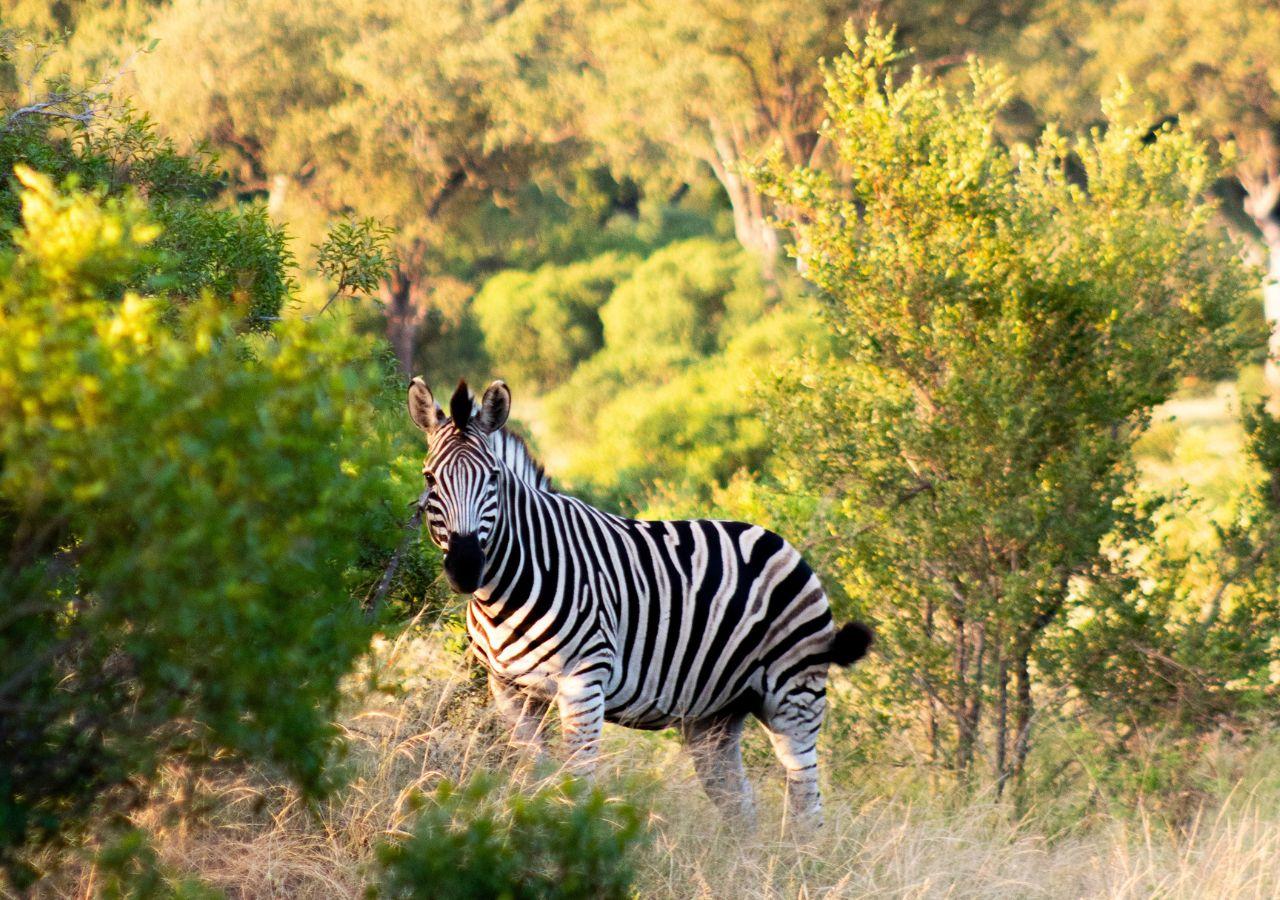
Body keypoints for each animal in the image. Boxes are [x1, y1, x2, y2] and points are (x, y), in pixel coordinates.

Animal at [407, 376, 872, 825]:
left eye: (494, 479)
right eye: (430, 479)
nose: (466, 567)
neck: (505, 593)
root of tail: (781, 543)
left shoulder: (584, 682)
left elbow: (576, 783)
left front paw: (570, 840)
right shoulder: (509, 690)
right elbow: (533, 776)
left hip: (794, 696)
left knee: (806, 805)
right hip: (713, 715)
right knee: (740, 807)